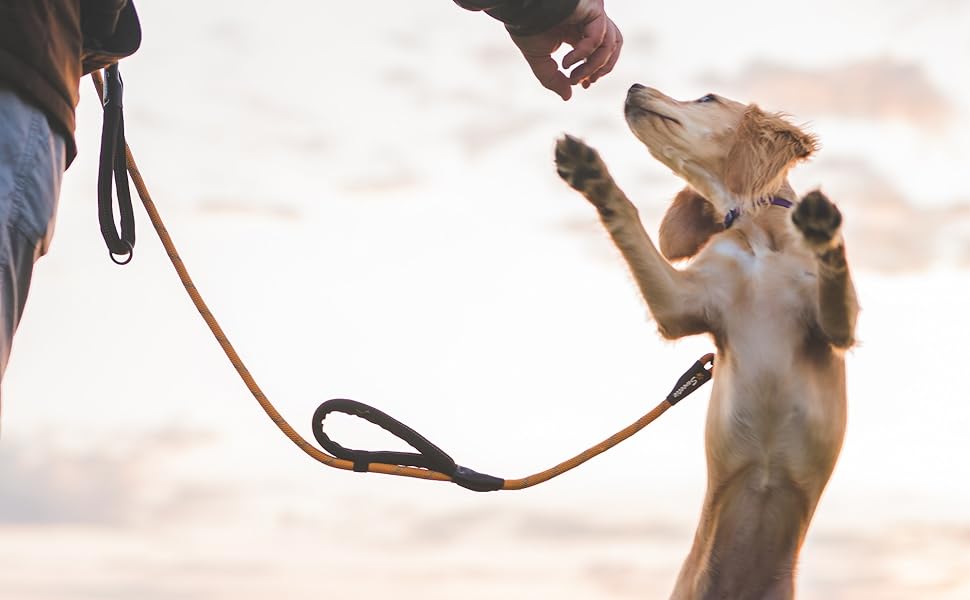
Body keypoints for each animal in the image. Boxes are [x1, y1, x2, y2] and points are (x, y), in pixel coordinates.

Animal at [556, 85, 860, 600]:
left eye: (706, 98)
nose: (632, 87)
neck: (759, 237)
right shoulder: (680, 306)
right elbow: (631, 223)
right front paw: (594, 176)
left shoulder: (836, 326)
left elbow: (835, 276)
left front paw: (823, 230)